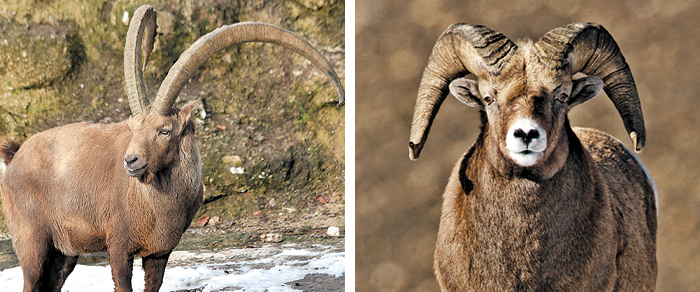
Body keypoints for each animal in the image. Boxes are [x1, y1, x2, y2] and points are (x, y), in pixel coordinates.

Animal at [0, 5, 344, 292]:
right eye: (132, 127)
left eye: (165, 130)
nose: (131, 161)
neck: (155, 206)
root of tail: (15, 156)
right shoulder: (118, 247)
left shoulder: (159, 252)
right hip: (32, 241)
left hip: (65, 252)